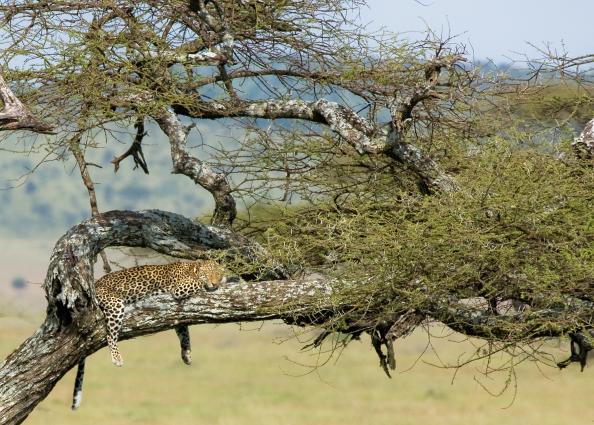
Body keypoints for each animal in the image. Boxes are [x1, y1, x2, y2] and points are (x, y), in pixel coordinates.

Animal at [70, 256, 227, 410]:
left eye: (217, 274)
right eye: (207, 274)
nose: (215, 283)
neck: (191, 269)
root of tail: (95, 284)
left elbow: (184, 333)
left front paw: (186, 354)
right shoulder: (179, 289)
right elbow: (198, 283)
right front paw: (218, 281)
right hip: (115, 304)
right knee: (110, 334)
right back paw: (117, 358)